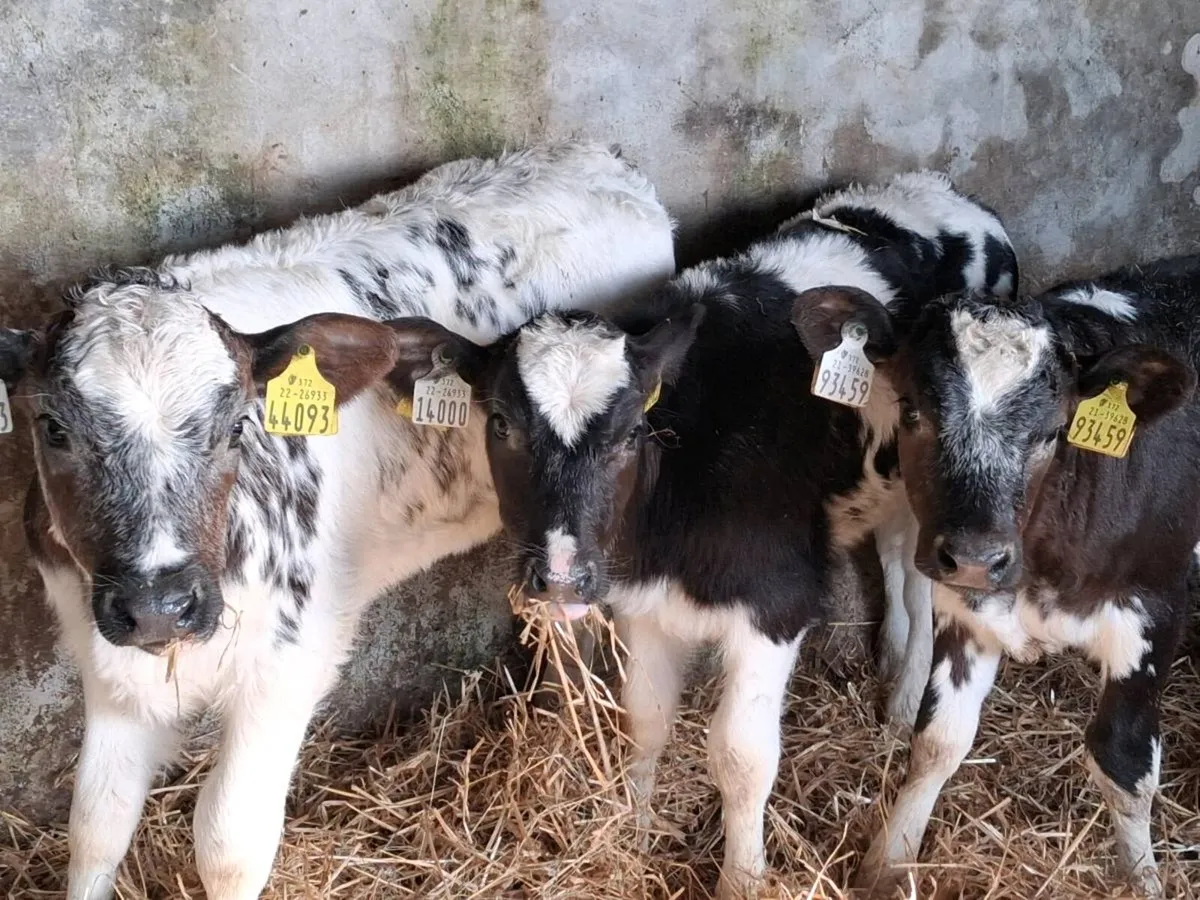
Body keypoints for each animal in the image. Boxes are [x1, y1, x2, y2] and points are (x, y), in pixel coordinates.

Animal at [0, 140, 676, 900]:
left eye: (238, 426)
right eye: (53, 428)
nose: (159, 606)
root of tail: (593, 154)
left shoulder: (293, 659)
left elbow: (229, 844)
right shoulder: (100, 659)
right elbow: (95, 826)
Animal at [340, 171, 1017, 898]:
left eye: (631, 431)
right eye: (499, 423)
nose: (561, 575)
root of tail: (941, 191)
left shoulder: (776, 604)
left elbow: (743, 758)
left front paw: (742, 878)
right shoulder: (643, 601)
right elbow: (645, 722)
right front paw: (633, 835)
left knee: (920, 575)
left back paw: (906, 694)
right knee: (893, 555)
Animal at [855, 255, 1200, 898]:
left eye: (1052, 432)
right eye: (912, 410)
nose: (974, 556)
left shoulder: (1155, 608)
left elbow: (1124, 761)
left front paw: (1141, 879)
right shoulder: (967, 613)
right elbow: (936, 742)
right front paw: (887, 862)